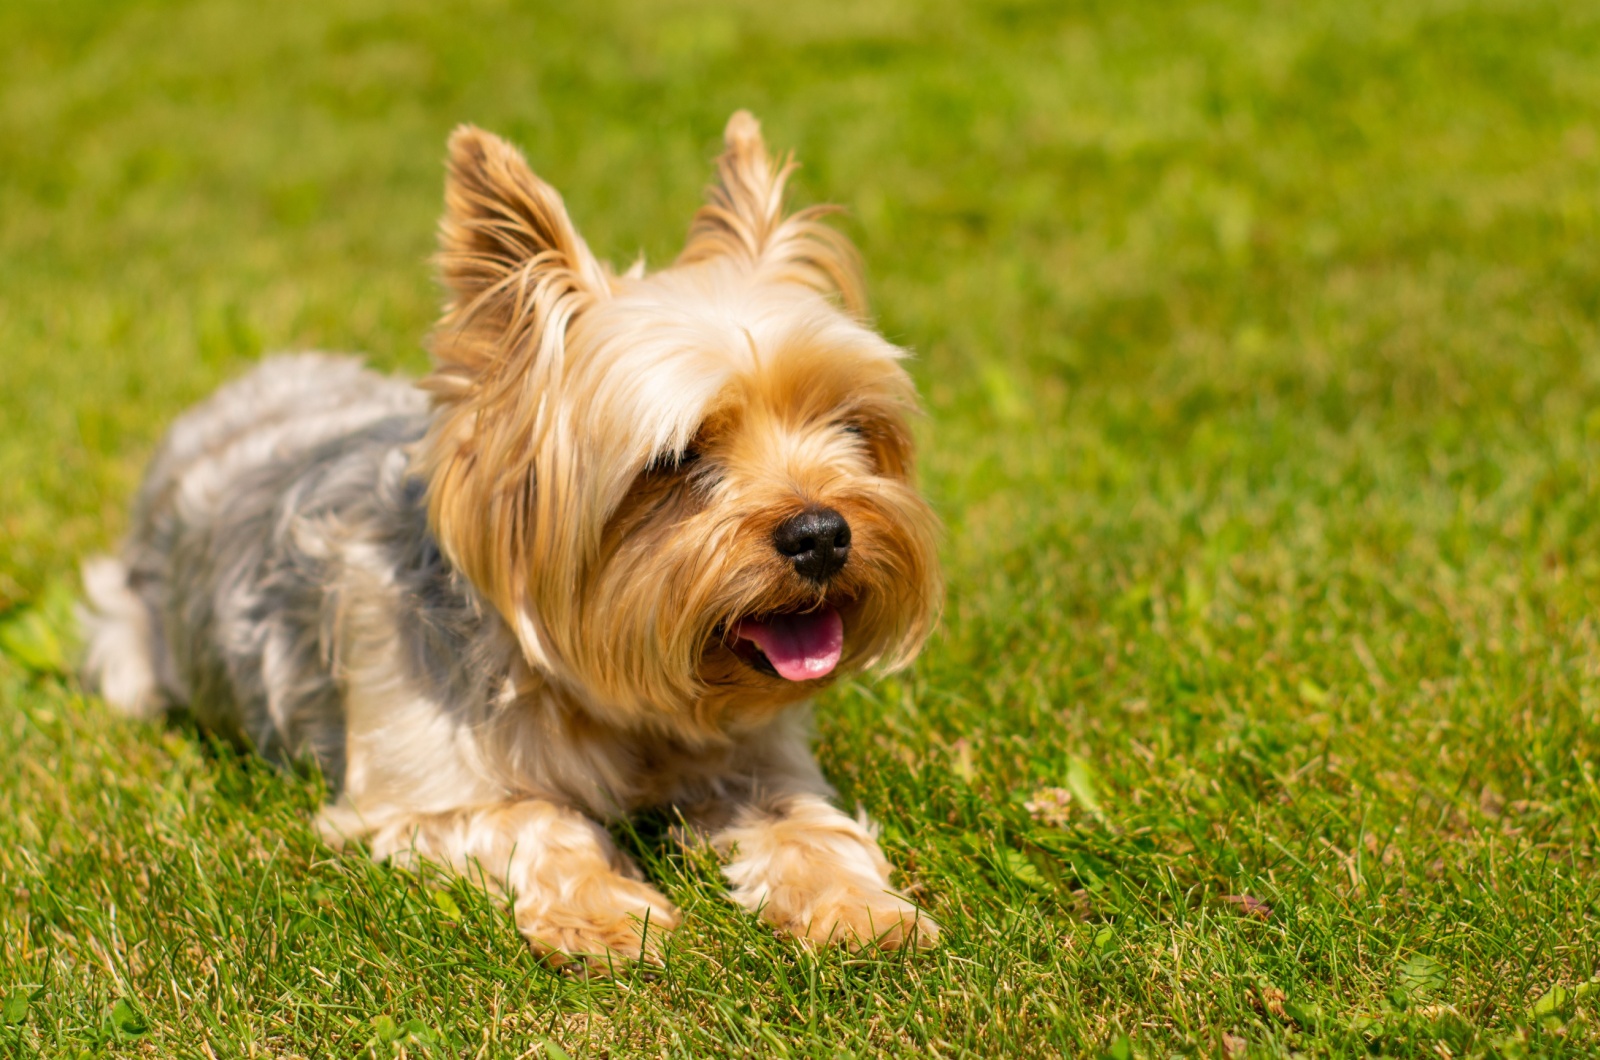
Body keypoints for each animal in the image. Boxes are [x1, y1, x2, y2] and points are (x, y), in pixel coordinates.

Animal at [81, 109, 940, 973]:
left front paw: (857, 907)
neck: (607, 695)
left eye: (848, 426)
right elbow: (537, 819)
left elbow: (806, 820)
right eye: (676, 458)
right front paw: (604, 914)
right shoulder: (419, 800)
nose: (822, 534)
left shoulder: (753, 756)